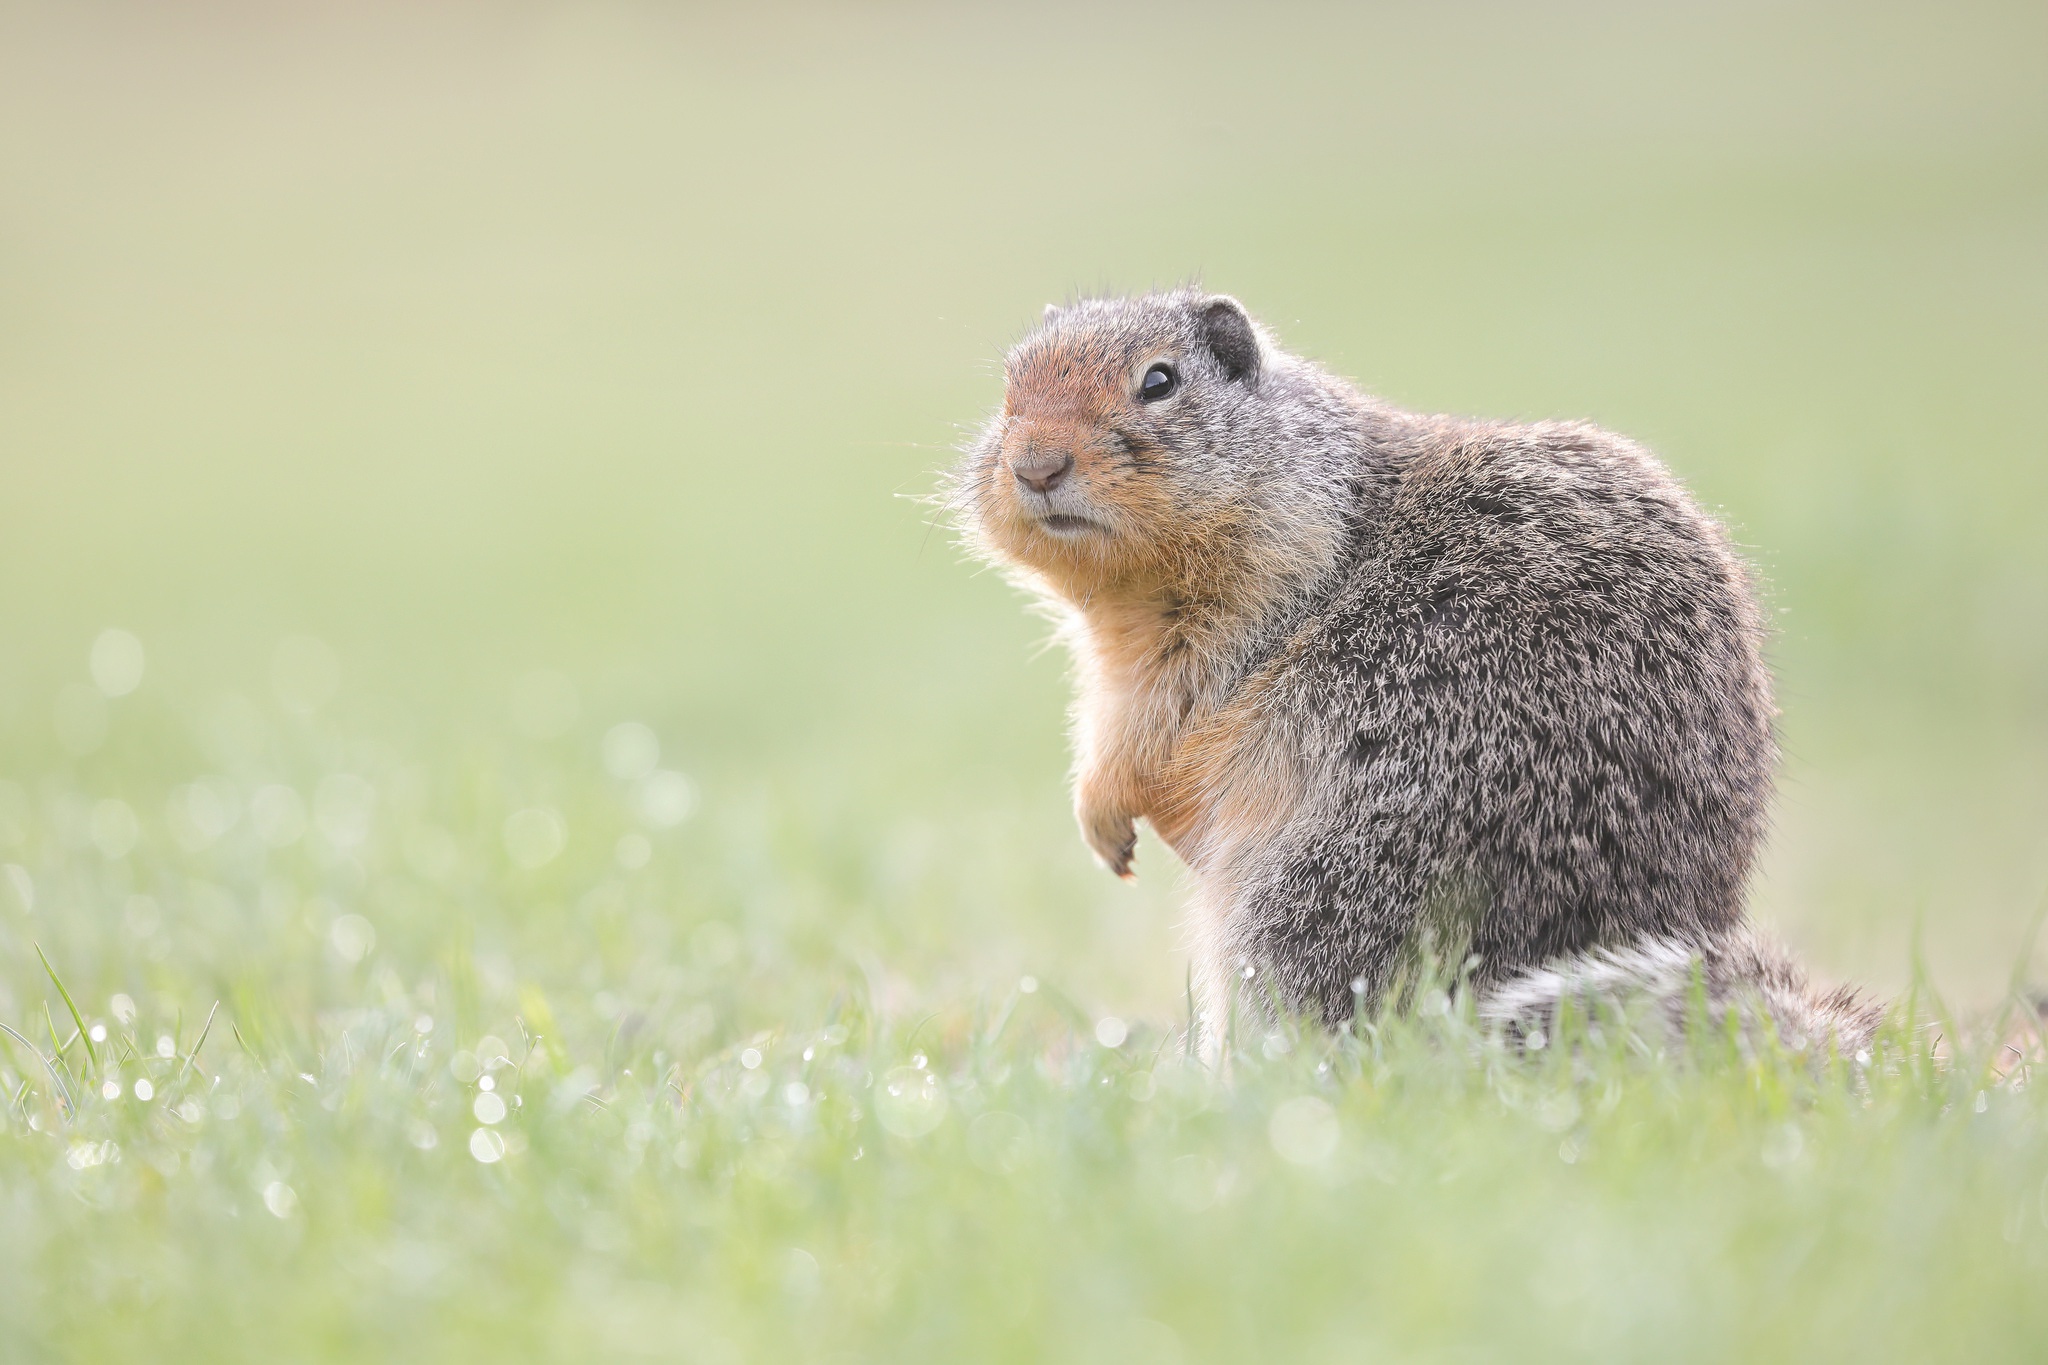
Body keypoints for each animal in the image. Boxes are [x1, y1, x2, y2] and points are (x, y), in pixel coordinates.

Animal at [950, 288, 1875, 1055]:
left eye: (1159, 380)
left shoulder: (1215, 644)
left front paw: (1106, 815)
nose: (1036, 464)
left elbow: (1142, 739)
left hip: (1308, 897)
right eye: (1010, 385)